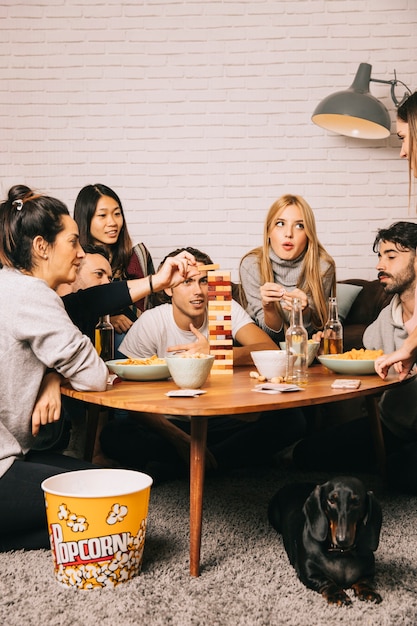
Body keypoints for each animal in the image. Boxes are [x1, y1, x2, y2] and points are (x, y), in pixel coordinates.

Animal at [268, 476, 382, 604]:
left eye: (356, 502)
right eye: (331, 501)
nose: (342, 540)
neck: (341, 553)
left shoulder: (369, 571)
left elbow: (364, 580)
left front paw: (368, 592)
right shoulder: (309, 573)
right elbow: (326, 582)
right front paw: (337, 595)